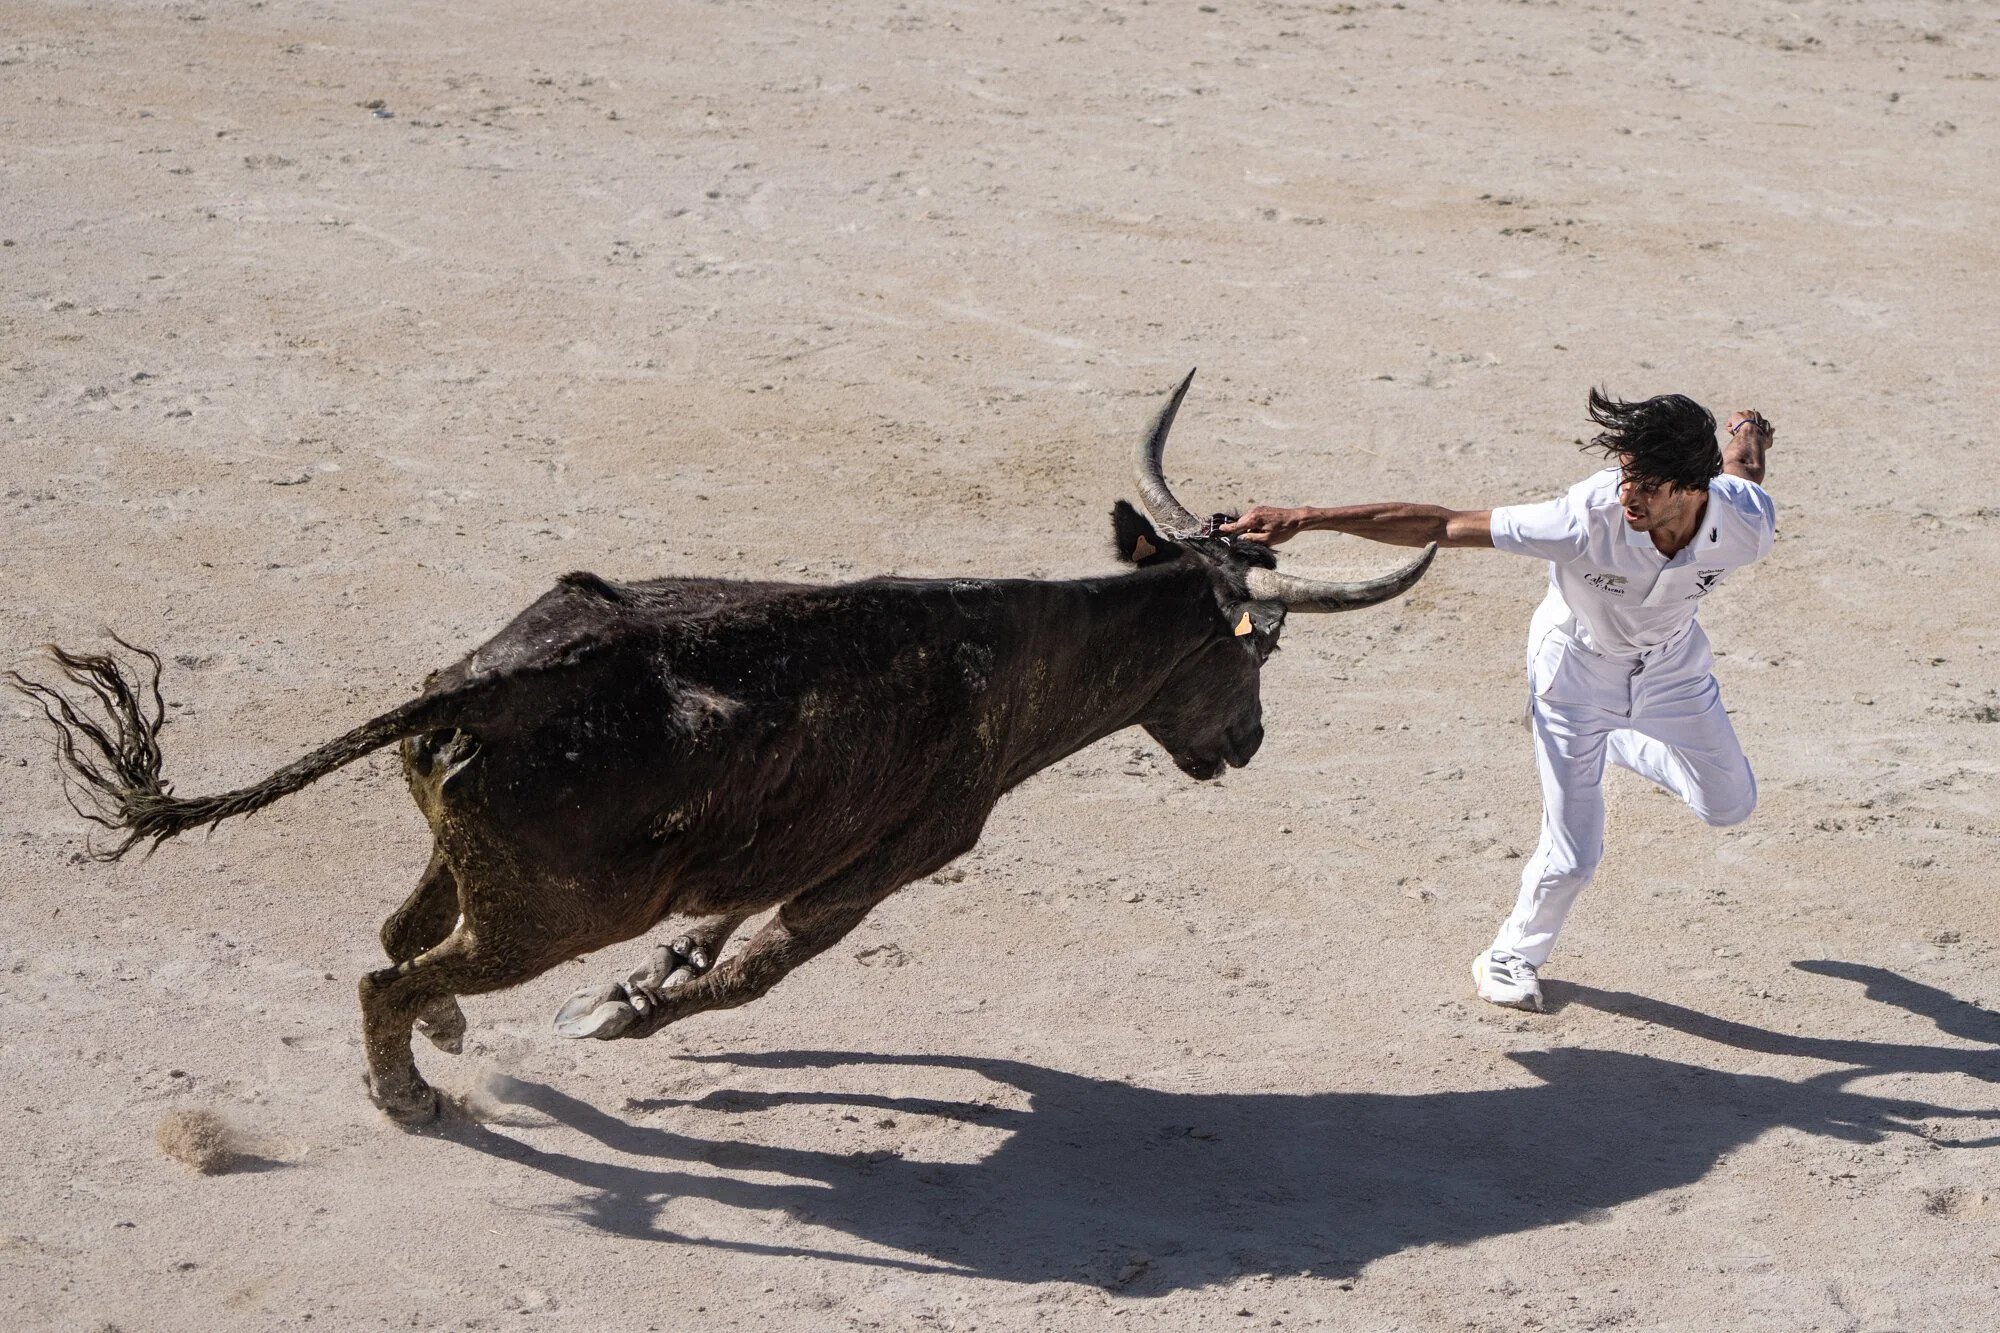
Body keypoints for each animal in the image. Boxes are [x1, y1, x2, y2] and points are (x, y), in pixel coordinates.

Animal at [11, 372, 1433, 1124]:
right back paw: (415, 1096)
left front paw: (642, 988)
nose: (1247, 745)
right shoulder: (886, 865)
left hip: (467, 854)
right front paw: (628, 1013)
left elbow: (713, 930)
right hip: (547, 912)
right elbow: (751, 972)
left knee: (399, 939)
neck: (1016, 644)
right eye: (1257, 655)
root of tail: (501, 678)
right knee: (387, 974)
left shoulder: (785, 845)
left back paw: (451, 1039)